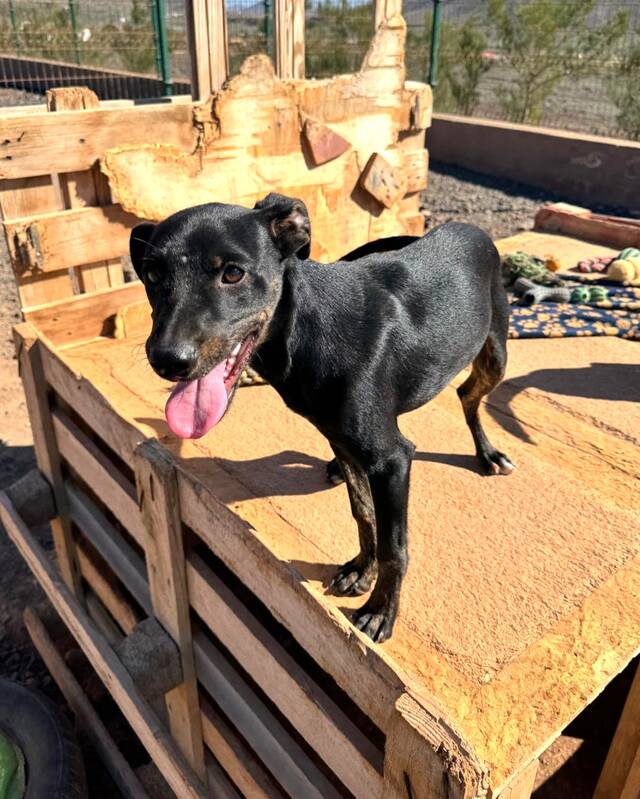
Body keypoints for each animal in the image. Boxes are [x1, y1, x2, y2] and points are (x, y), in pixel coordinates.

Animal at [129, 193, 514, 642]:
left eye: (233, 273)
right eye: (152, 274)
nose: (167, 361)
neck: (306, 332)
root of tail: (469, 227)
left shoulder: (392, 459)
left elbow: (394, 547)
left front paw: (380, 611)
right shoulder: (347, 443)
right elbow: (363, 512)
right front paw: (360, 570)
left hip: (495, 354)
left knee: (468, 395)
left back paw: (488, 454)